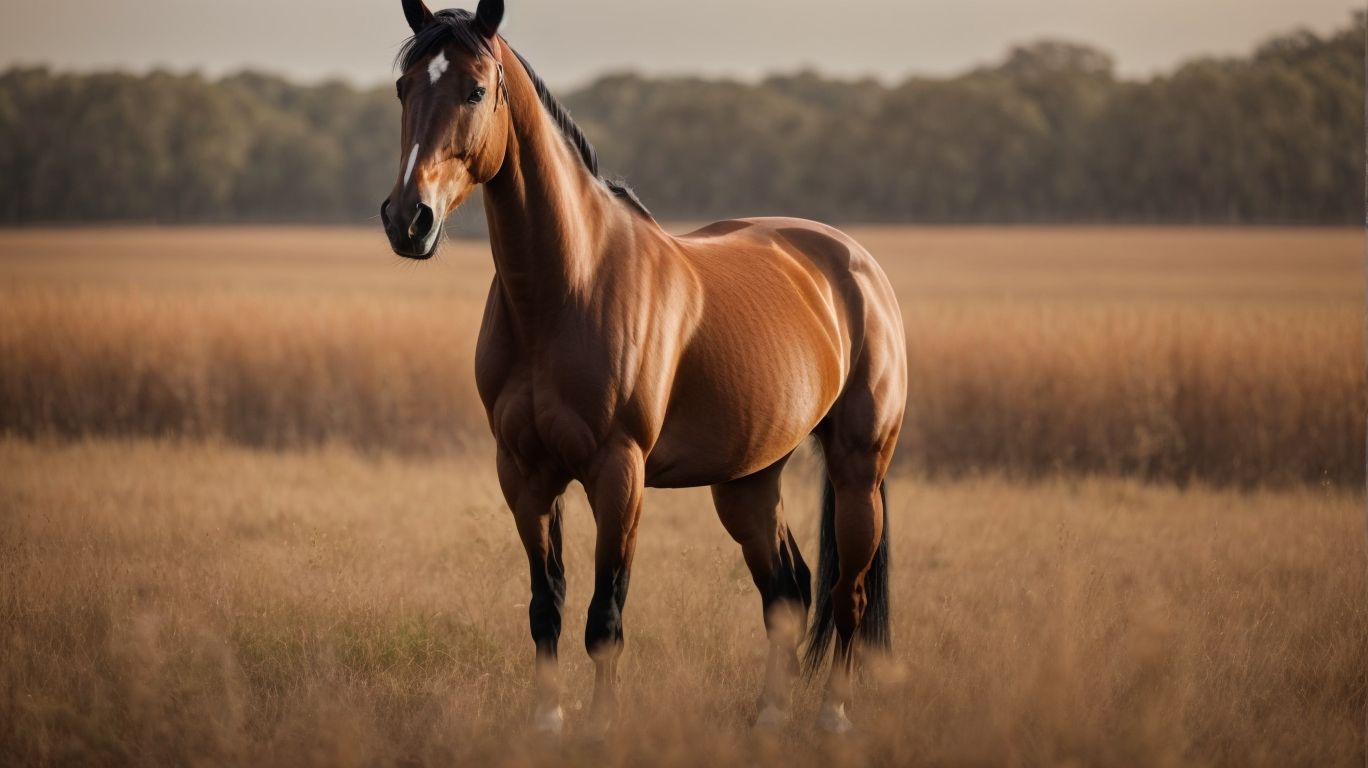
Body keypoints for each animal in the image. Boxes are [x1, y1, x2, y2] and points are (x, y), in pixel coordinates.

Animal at [380, 0, 907, 736]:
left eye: (476, 90)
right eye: (404, 88)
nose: (409, 220)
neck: (565, 289)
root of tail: (855, 263)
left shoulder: (618, 473)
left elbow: (606, 616)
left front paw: (601, 726)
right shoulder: (523, 473)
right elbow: (546, 606)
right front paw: (546, 722)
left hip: (859, 468)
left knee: (847, 594)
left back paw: (832, 716)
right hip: (748, 482)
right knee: (789, 590)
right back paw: (769, 717)